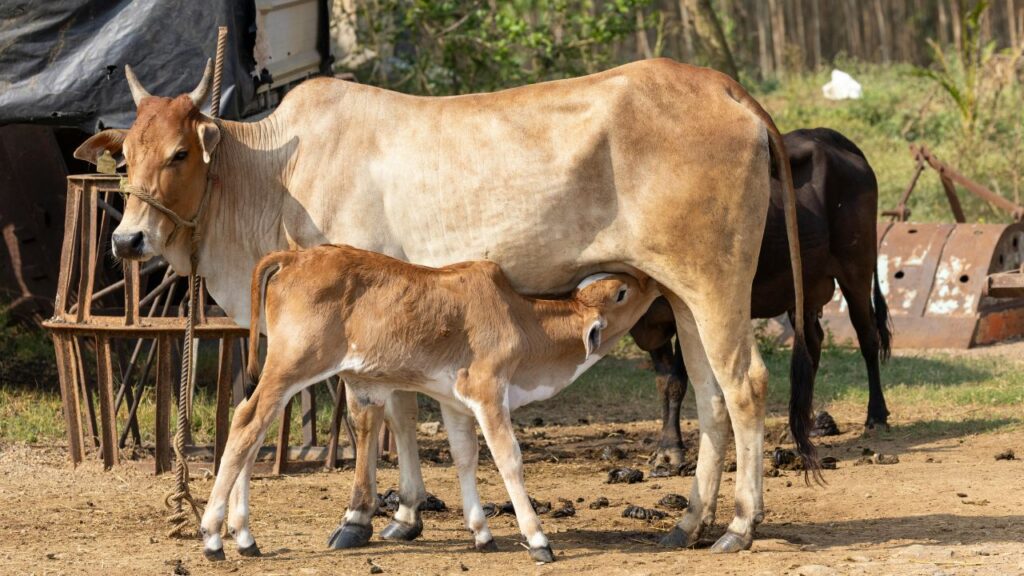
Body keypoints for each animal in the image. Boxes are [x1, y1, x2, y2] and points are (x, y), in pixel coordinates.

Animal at [199, 244, 659, 562]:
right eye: (621, 292)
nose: (649, 280)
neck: (522, 320)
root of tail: (293, 257)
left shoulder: (455, 401)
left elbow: (465, 456)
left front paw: (482, 532)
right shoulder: (489, 390)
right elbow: (508, 459)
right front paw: (537, 539)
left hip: (283, 373)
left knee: (253, 432)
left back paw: (244, 536)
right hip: (291, 366)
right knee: (246, 424)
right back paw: (213, 535)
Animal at [632, 128, 893, 467]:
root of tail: (828, 137)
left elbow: (678, 380)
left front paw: (672, 450)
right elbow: (663, 382)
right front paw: (666, 445)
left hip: (856, 269)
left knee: (867, 337)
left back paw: (876, 415)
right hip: (804, 289)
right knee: (812, 343)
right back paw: (802, 425)